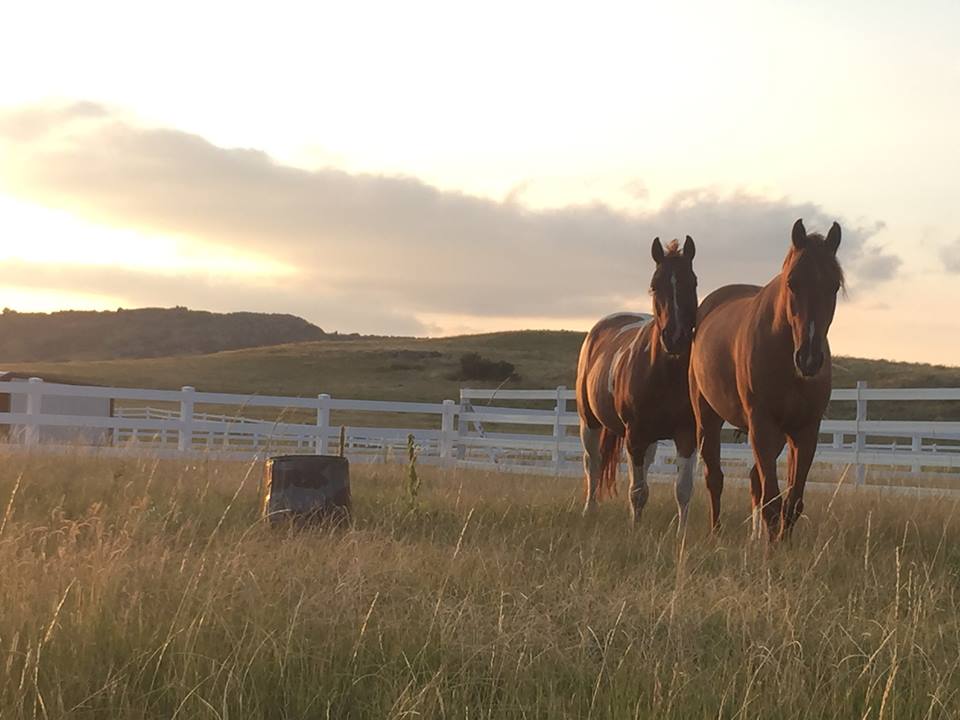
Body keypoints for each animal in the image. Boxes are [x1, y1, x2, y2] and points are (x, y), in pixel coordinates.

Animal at [576, 236, 696, 528]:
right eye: (654, 286)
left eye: (693, 282)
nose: (675, 337)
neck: (664, 375)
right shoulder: (635, 435)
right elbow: (638, 490)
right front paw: (635, 528)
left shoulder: (687, 434)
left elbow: (683, 488)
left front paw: (682, 532)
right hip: (590, 422)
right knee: (592, 464)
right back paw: (589, 510)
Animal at [688, 219, 840, 540]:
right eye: (792, 282)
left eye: (834, 285)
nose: (809, 359)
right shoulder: (762, 425)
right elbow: (772, 501)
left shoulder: (805, 431)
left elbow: (792, 503)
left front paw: (783, 545)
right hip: (707, 419)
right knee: (714, 478)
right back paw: (716, 532)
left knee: (753, 480)